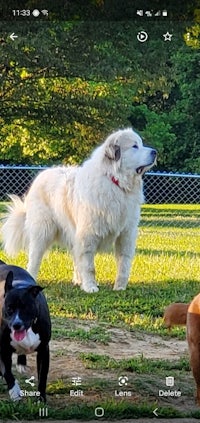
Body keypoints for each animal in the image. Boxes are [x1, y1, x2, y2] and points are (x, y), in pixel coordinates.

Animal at [0, 260, 50, 402]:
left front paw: (41, 398)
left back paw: (21, 363)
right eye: (9, 309)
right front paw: (15, 392)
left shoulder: (44, 350)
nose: (17, 325)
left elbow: (42, 376)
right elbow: (7, 372)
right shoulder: (3, 349)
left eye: (26, 308)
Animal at [2, 129, 157, 294]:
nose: (155, 152)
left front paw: (120, 287)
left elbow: (124, 262)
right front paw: (90, 287)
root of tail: (43, 174)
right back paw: (31, 278)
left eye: (140, 144)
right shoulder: (88, 234)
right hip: (42, 231)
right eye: (134, 146)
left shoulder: (126, 234)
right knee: (35, 258)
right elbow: (89, 266)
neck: (115, 182)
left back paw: (78, 280)